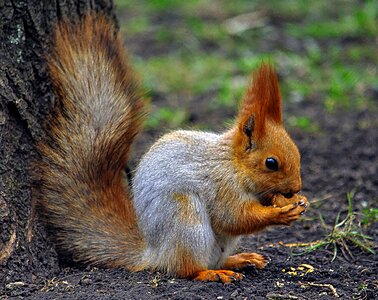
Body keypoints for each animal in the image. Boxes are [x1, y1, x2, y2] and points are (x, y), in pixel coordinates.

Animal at [37, 14, 310, 282]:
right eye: (271, 163)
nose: (296, 187)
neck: (233, 163)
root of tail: (155, 253)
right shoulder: (221, 186)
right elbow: (233, 217)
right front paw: (279, 213)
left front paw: (299, 201)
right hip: (186, 220)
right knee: (185, 268)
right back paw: (211, 272)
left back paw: (238, 260)